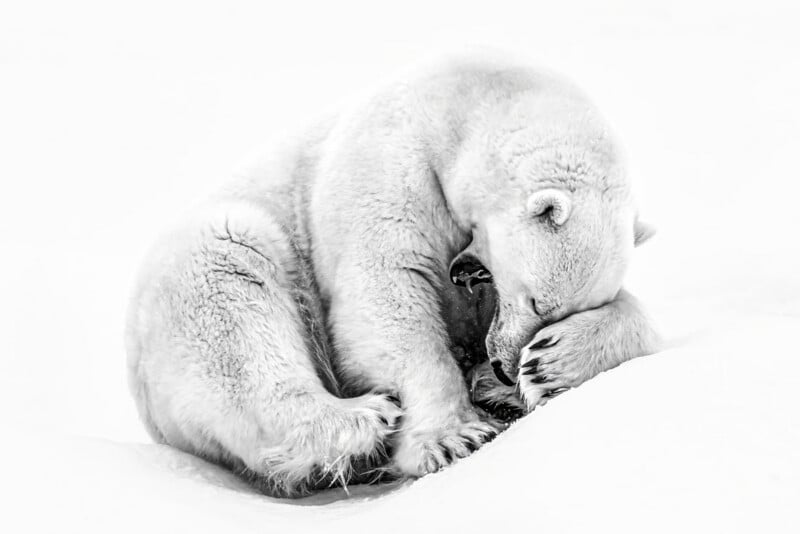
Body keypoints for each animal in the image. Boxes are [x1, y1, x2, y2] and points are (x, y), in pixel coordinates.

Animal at [125, 53, 659, 498]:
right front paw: (456, 437)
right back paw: (362, 417)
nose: (507, 366)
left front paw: (549, 365)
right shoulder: (391, 163)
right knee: (233, 289)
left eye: (558, 314)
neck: (462, 104)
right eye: (536, 302)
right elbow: (383, 293)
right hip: (199, 288)